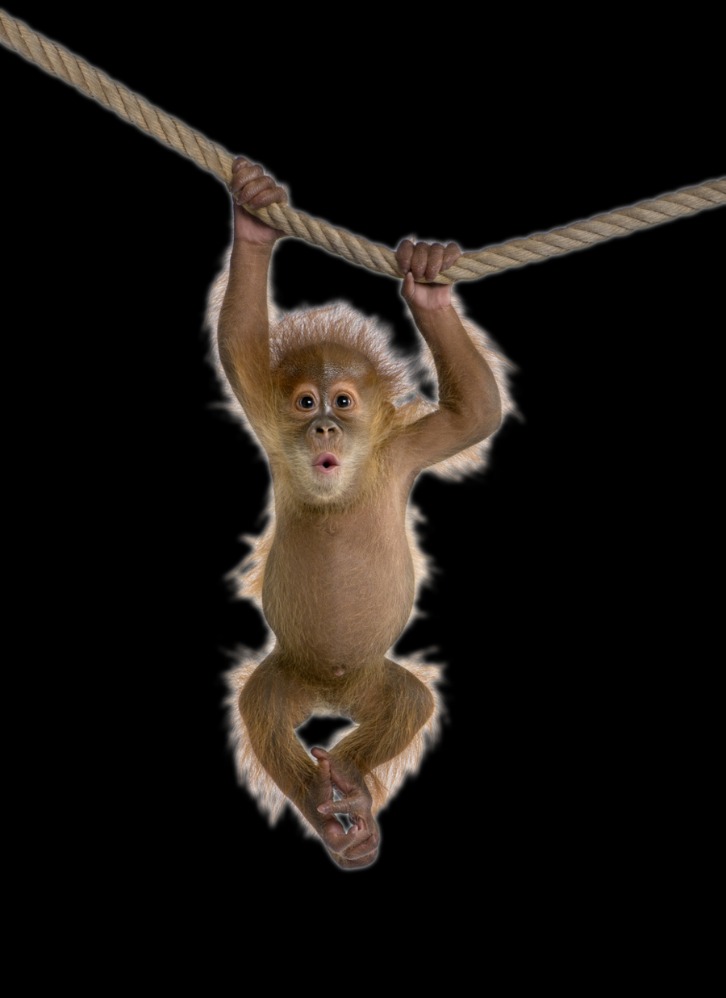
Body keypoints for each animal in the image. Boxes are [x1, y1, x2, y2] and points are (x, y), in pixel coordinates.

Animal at [206, 158, 515, 869]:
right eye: (305, 402)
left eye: (343, 402)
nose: (323, 427)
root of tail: (332, 693)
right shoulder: (268, 421)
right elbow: (237, 343)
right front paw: (255, 218)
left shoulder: (403, 452)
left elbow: (475, 413)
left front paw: (427, 281)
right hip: (290, 673)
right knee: (262, 712)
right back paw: (332, 814)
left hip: (371, 681)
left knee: (407, 702)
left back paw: (348, 784)